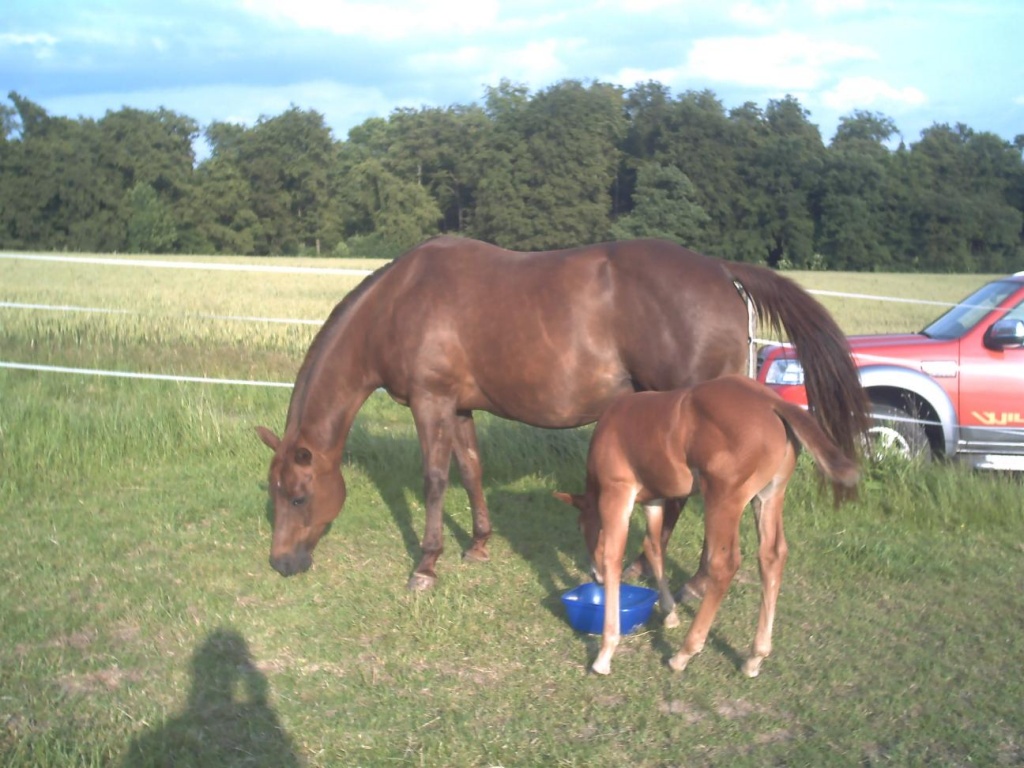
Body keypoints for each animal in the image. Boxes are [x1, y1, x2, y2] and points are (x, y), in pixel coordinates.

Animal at [256, 236, 868, 591]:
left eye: (298, 497)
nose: (281, 562)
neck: (398, 301)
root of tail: (720, 270)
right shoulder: (459, 407)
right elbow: (470, 470)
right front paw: (478, 544)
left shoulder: (432, 403)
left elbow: (433, 480)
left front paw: (425, 566)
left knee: (691, 497)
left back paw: (674, 575)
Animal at [554, 375, 860, 676]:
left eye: (581, 527)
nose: (594, 576)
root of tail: (772, 402)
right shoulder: (655, 498)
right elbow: (654, 546)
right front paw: (670, 613)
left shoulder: (617, 492)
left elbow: (613, 557)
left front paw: (605, 653)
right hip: (770, 494)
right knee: (772, 556)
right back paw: (755, 657)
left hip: (723, 498)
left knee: (724, 565)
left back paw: (684, 654)